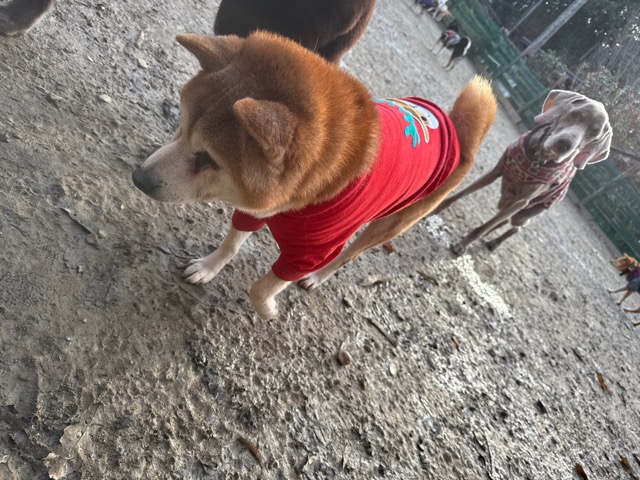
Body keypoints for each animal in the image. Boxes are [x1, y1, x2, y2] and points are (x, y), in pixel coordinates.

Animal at [132, 32, 497, 319]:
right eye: (179, 129)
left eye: (208, 159)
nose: (138, 178)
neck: (302, 199)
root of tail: (455, 130)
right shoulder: (255, 209)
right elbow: (231, 243)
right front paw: (208, 268)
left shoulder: (310, 254)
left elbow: (263, 287)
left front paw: (269, 309)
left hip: (389, 224)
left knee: (349, 255)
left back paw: (320, 278)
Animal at [433, 89, 612, 255]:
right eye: (576, 114)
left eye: (595, 133)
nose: (565, 144)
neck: (537, 157)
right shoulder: (496, 171)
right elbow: (458, 195)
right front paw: (435, 208)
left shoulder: (521, 201)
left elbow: (483, 227)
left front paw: (462, 244)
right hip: (507, 203)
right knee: (502, 221)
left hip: (523, 214)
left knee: (515, 226)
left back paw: (495, 242)